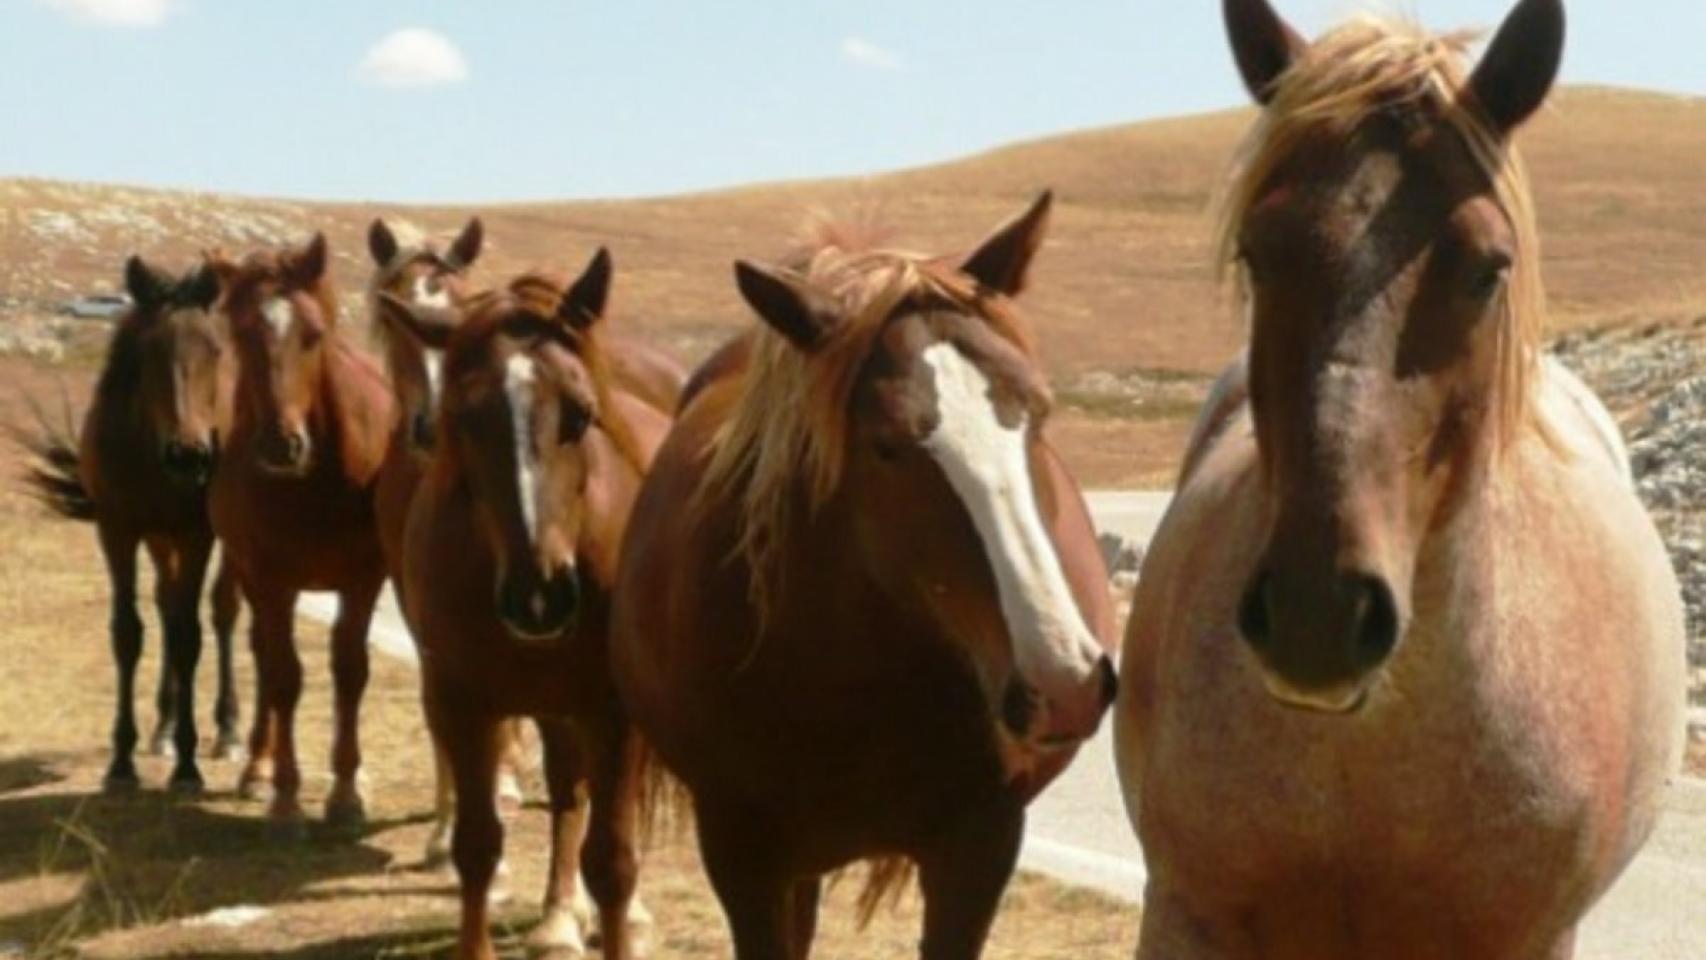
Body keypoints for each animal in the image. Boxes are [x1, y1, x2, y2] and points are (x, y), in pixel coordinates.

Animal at [11, 256, 243, 792]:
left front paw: (188, 766)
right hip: (158, 539)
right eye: (151, 353)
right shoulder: (118, 530)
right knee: (165, 604)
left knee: (222, 610)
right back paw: (162, 728)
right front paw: (122, 760)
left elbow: (189, 635)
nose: (190, 456)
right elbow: (128, 632)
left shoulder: (196, 533)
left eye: (214, 350)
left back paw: (228, 731)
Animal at [207, 233, 396, 833]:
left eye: (313, 335)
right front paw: (286, 798)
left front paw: (346, 792)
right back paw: (258, 767)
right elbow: (284, 676)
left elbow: (350, 670)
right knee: (263, 657)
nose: (281, 444)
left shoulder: (364, 579)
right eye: (243, 333)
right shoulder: (270, 580)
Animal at [387, 251, 669, 960]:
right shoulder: (461, 703)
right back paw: (559, 917)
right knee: (569, 791)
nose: (540, 596)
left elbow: (614, 860)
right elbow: (477, 846)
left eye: (581, 414)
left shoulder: (615, 712)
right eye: (465, 418)